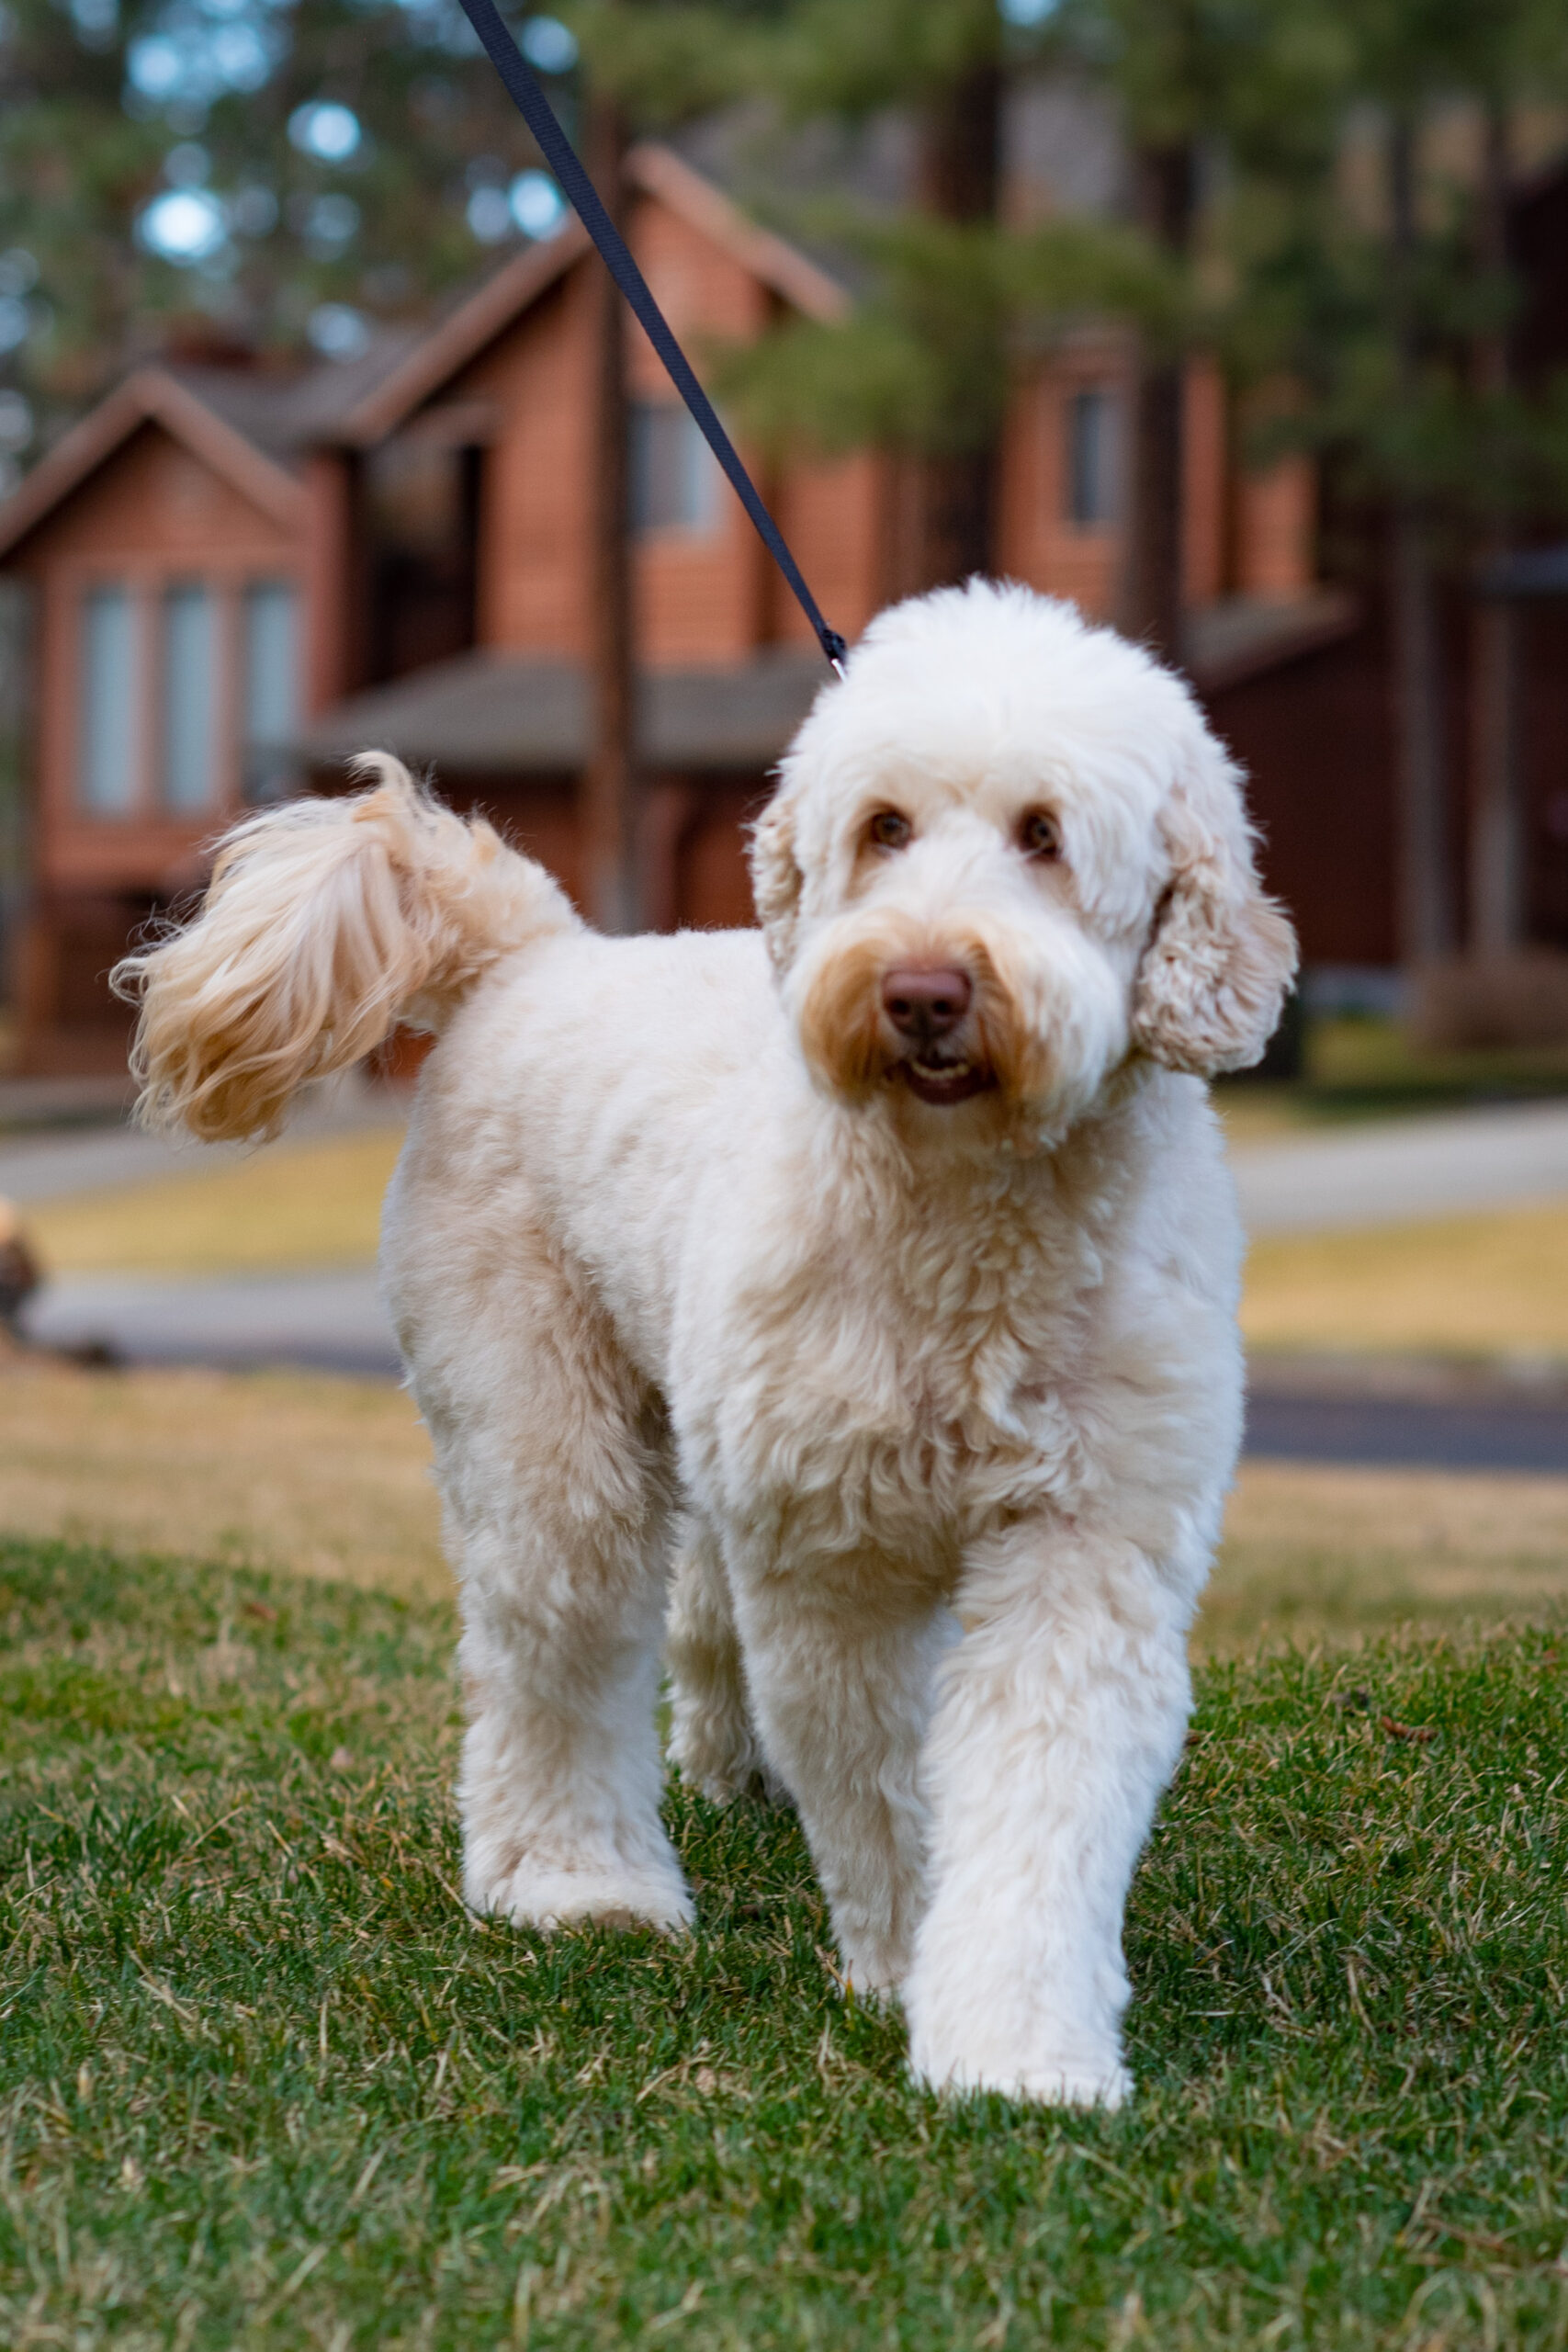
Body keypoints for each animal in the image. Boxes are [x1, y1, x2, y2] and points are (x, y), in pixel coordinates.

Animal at [119, 578, 1297, 2107]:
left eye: (1042, 832)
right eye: (883, 828)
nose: (921, 989)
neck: (960, 1207)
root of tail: (538, 954)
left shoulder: (1085, 1545)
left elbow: (1040, 1800)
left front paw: (1015, 2051)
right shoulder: (833, 1561)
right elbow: (885, 1787)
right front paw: (902, 1968)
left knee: (683, 1615)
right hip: (545, 1425)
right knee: (551, 1659)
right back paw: (576, 1883)